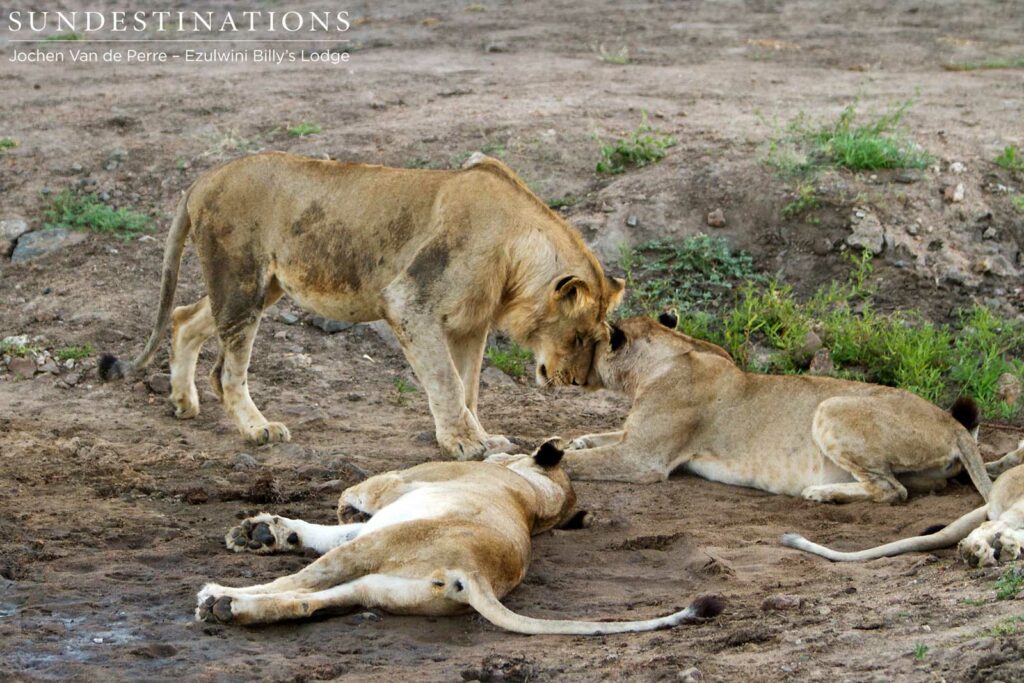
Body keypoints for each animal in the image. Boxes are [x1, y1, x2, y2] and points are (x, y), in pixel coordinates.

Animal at [98, 152, 624, 459]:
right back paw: (257, 429)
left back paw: (182, 403)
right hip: (241, 280)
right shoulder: (410, 302)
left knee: (184, 319)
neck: (515, 248)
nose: (576, 383)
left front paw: (480, 437)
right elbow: (447, 383)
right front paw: (463, 443)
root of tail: (204, 178)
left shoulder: (467, 326)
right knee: (226, 371)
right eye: (579, 336)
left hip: (260, 286)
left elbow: (469, 387)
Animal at [194, 440, 724, 634]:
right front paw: (263, 533)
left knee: (299, 583)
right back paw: (231, 606)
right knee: (309, 601)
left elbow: (354, 500)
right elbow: (329, 529)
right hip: (375, 587)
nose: (496, 451)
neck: (539, 502)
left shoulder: (400, 486)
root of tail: (474, 574)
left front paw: (264, 532)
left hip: (377, 547)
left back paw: (218, 596)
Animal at [562, 312, 995, 504]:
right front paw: (571, 440)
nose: (572, 372)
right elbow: (598, 435)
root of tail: (951, 423)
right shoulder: (632, 438)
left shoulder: (642, 459)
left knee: (892, 490)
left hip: (831, 406)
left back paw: (820, 493)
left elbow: (576, 462)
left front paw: (551, 456)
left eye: (586, 342)